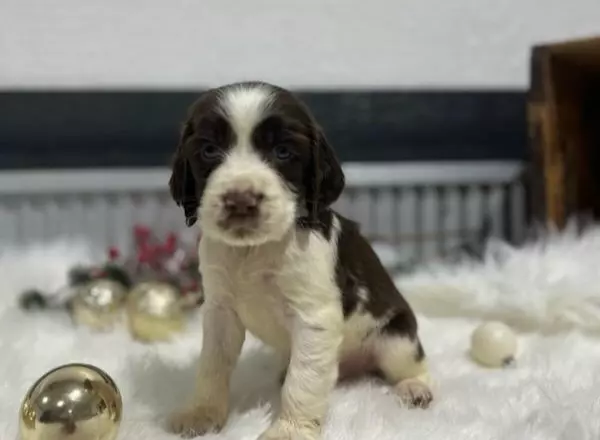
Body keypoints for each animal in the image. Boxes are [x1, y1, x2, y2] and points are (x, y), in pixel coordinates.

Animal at [168, 81, 432, 438]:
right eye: (209, 151)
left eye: (283, 152)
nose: (240, 200)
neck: (254, 250)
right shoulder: (220, 311)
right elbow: (212, 364)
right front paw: (202, 413)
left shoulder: (313, 318)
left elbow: (303, 380)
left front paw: (289, 430)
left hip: (396, 339)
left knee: (412, 363)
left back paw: (415, 387)